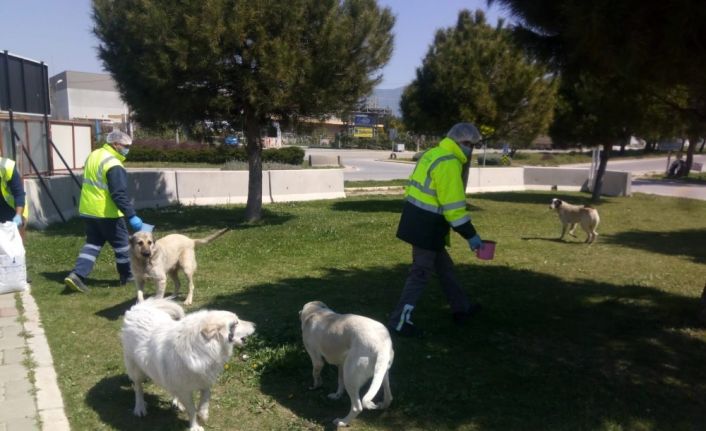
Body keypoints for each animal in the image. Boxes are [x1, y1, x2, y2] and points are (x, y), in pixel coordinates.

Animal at [120, 298, 253, 430]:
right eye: (235, 323)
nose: (254, 324)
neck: (199, 348)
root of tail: (138, 308)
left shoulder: (205, 379)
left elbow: (205, 398)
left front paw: (203, 414)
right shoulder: (185, 390)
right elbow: (192, 409)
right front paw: (195, 426)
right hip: (136, 370)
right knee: (138, 388)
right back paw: (140, 407)